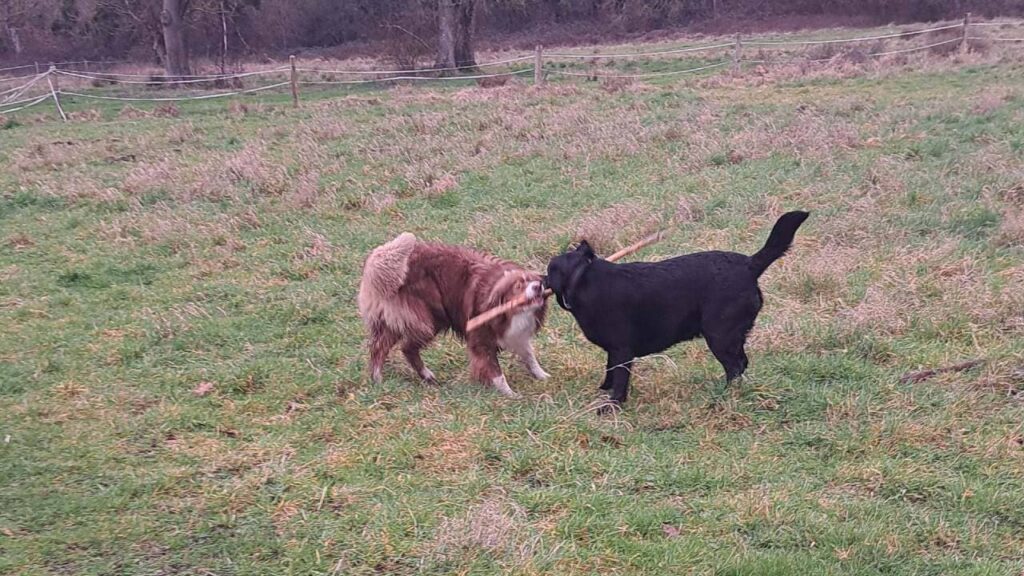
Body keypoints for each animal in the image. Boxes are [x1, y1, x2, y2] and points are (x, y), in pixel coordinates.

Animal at [360, 230, 552, 397]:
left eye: (535, 281)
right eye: (518, 285)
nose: (538, 286)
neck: (512, 313)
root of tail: (374, 266)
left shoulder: (517, 335)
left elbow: (529, 357)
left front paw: (542, 376)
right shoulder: (481, 340)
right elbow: (497, 373)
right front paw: (510, 394)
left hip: (400, 320)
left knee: (382, 347)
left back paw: (394, 378)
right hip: (428, 319)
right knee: (404, 347)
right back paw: (388, 378)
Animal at [544, 211, 806, 407]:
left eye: (549, 270)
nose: (541, 280)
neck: (585, 278)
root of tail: (750, 265)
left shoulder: (622, 349)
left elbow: (619, 379)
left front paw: (612, 406)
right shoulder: (613, 351)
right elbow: (610, 371)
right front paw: (602, 390)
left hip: (719, 335)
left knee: (735, 366)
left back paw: (723, 396)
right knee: (742, 363)